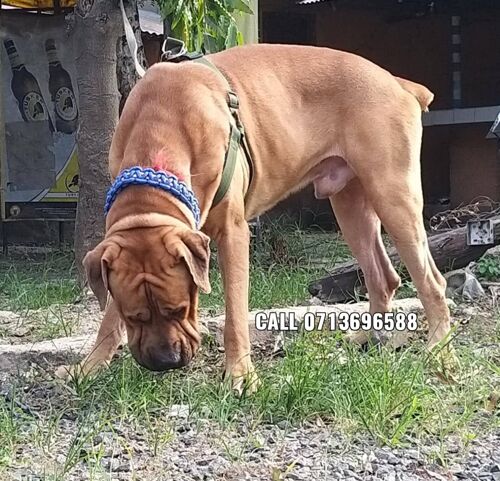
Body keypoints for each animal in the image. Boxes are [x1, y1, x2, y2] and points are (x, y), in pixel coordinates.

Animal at [57, 44, 454, 390]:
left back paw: (438, 349)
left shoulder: (233, 234)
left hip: (394, 195)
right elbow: (107, 317)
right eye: (134, 316)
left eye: (181, 308)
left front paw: (239, 376)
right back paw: (370, 339)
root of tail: (399, 83)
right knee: (382, 276)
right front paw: (89, 366)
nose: (165, 362)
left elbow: (235, 313)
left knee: (431, 280)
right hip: (350, 204)